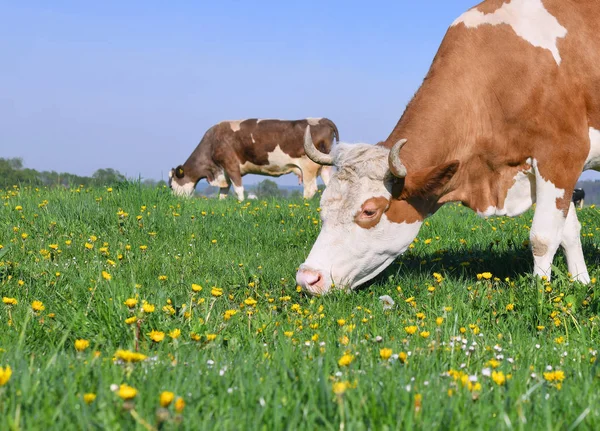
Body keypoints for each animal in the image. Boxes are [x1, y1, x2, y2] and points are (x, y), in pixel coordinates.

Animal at [169, 117, 338, 200]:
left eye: (170, 186)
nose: (174, 201)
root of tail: (322, 119)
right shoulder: (223, 171)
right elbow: (223, 192)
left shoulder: (230, 164)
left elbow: (238, 189)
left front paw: (241, 205)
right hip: (325, 165)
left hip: (309, 166)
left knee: (310, 190)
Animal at [296, 0, 600, 296]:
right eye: (322, 204)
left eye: (370, 211)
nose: (308, 277)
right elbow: (569, 232)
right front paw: (581, 283)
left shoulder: (560, 155)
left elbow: (543, 237)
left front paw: (541, 293)